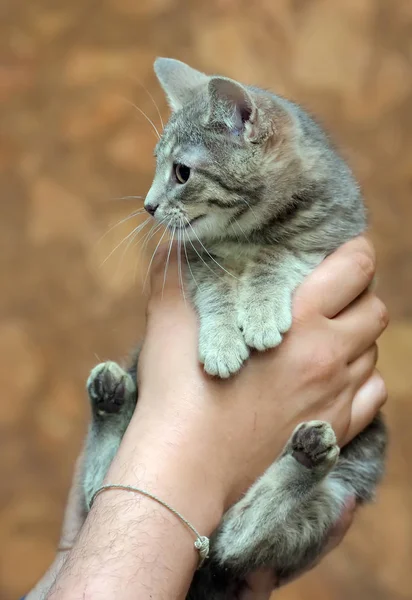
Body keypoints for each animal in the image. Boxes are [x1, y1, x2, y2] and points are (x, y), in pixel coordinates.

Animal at [83, 59, 386, 596]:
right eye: (156, 165)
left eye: (181, 172)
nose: (148, 205)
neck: (246, 234)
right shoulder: (195, 264)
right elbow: (218, 289)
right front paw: (224, 340)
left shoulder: (330, 241)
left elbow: (280, 257)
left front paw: (262, 310)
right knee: (101, 490)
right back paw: (109, 398)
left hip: (342, 487)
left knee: (236, 540)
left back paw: (305, 459)